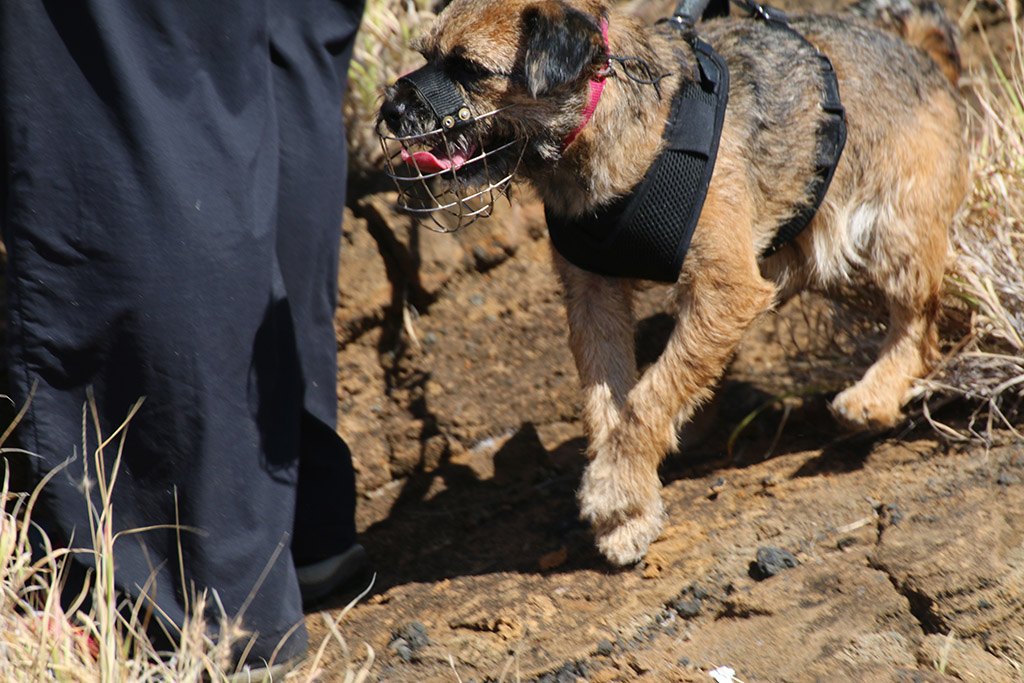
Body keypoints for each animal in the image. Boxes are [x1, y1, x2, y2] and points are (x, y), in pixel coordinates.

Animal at [376, 0, 966, 565]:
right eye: (425, 55)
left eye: (470, 69)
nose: (391, 109)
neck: (604, 126)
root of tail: (913, 49)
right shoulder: (594, 300)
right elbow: (607, 402)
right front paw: (629, 507)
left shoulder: (725, 291)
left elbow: (650, 396)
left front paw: (615, 490)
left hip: (896, 232)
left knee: (920, 327)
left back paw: (875, 395)